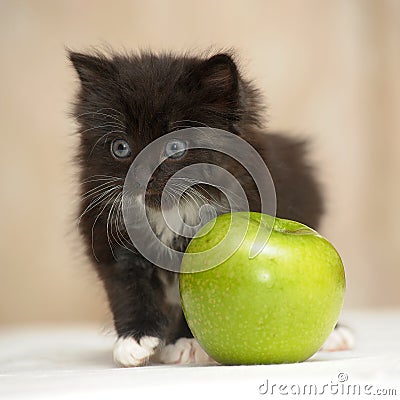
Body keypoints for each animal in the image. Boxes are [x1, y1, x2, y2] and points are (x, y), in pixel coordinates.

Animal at [69, 49, 354, 366]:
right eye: (121, 147)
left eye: (175, 147)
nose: (141, 174)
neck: (171, 212)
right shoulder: (106, 233)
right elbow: (126, 286)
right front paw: (134, 339)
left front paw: (186, 341)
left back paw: (337, 335)